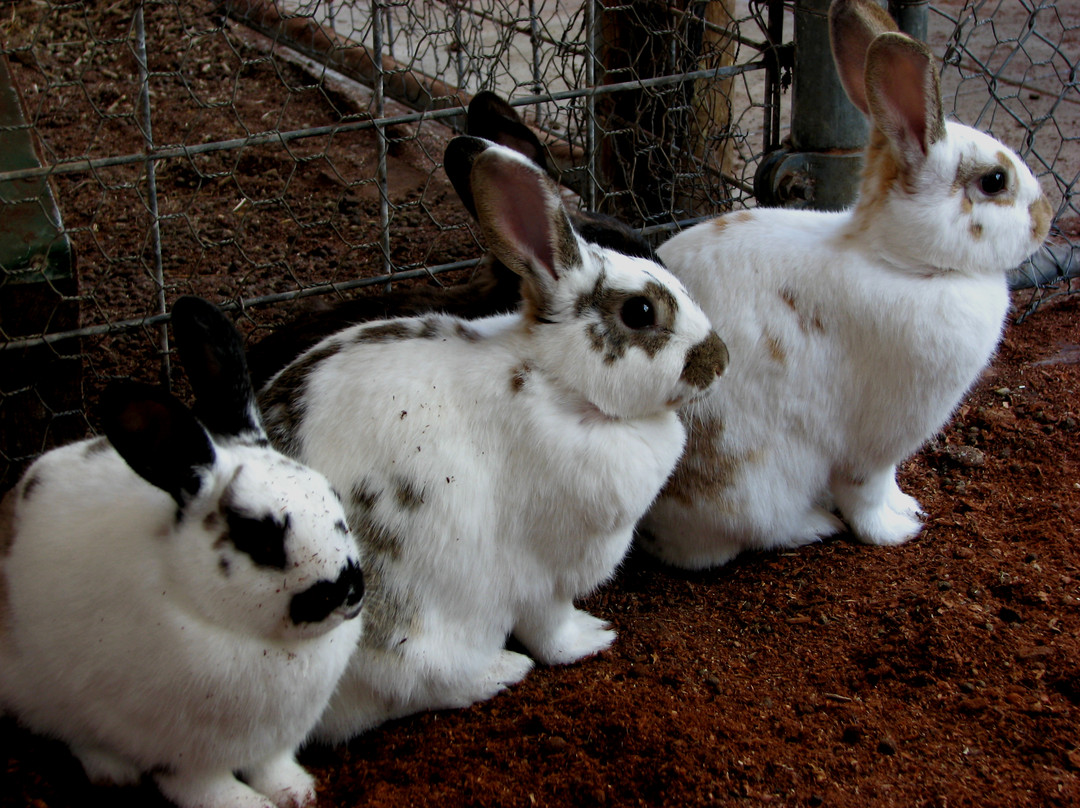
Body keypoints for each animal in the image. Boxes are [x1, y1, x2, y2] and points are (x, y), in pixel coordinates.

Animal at [0, 295, 365, 808]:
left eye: (332, 494)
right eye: (258, 536)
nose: (349, 589)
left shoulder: (276, 742)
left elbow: (274, 767)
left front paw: (297, 793)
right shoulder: (183, 754)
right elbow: (206, 787)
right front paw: (251, 805)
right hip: (39, 688)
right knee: (69, 729)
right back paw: (112, 771)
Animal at [258, 135, 730, 743]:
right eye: (641, 311)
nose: (720, 360)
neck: (559, 383)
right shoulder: (545, 576)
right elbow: (552, 630)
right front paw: (594, 636)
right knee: (422, 682)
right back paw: (501, 671)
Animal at [635, 0, 1049, 570]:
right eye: (995, 182)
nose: (1046, 219)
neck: (903, 262)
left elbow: (890, 486)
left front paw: (909, 507)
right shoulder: (875, 443)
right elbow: (865, 492)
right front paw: (896, 531)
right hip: (756, 482)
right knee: (743, 534)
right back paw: (814, 525)